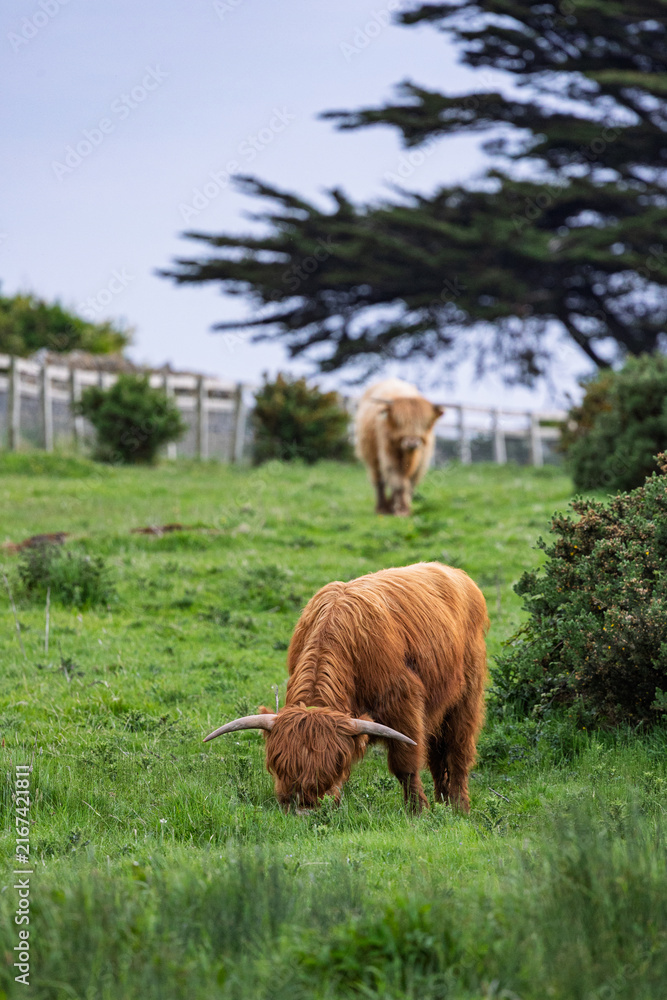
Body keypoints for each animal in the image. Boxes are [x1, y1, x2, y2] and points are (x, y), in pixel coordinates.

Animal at [204, 562, 488, 813]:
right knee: (438, 757)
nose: (304, 810)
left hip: (466, 698)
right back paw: (443, 804)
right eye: (278, 765)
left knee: (458, 753)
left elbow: (405, 766)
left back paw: (458, 808)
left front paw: (417, 812)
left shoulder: (404, 707)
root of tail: (455, 573)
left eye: (334, 767)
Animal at [354, 378, 444, 516]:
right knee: (379, 481)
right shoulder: (388, 456)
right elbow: (398, 482)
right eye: (398, 421)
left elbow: (409, 483)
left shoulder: (421, 462)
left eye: (425, 423)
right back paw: (382, 508)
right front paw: (401, 510)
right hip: (372, 459)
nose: (412, 442)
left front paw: (403, 507)